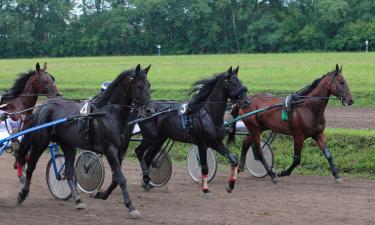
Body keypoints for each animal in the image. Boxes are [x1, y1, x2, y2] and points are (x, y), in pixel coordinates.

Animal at [16, 64, 151, 219]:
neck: (110, 114)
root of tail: (43, 107)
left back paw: (78, 200)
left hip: (68, 145)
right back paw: (22, 194)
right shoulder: (110, 149)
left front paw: (100, 194)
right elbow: (121, 178)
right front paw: (131, 207)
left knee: (68, 171)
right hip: (40, 143)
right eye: (139, 85)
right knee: (31, 167)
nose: (149, 110)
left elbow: (116, 179)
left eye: (149, 85)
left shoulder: (121, 150)